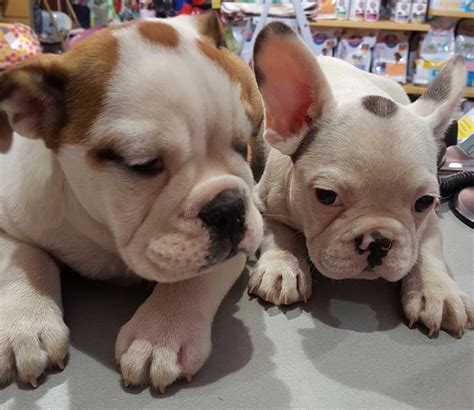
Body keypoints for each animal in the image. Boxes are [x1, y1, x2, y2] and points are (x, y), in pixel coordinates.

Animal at [0, 12, 262, 390]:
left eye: (244, 146)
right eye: (143, 165)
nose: (228, 209)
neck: (107, 234)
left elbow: (194, 276)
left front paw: (161, 333)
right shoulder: (10, 220)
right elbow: (23, 258)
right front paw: (26, 323)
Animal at [250, 21, 472, 336]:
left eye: (424, 202)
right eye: (326, 196)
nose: (378, 241)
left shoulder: (428, 221)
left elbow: (428, 249)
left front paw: (437, 291)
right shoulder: (263, 203)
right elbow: (277, 233)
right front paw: (283, 266)